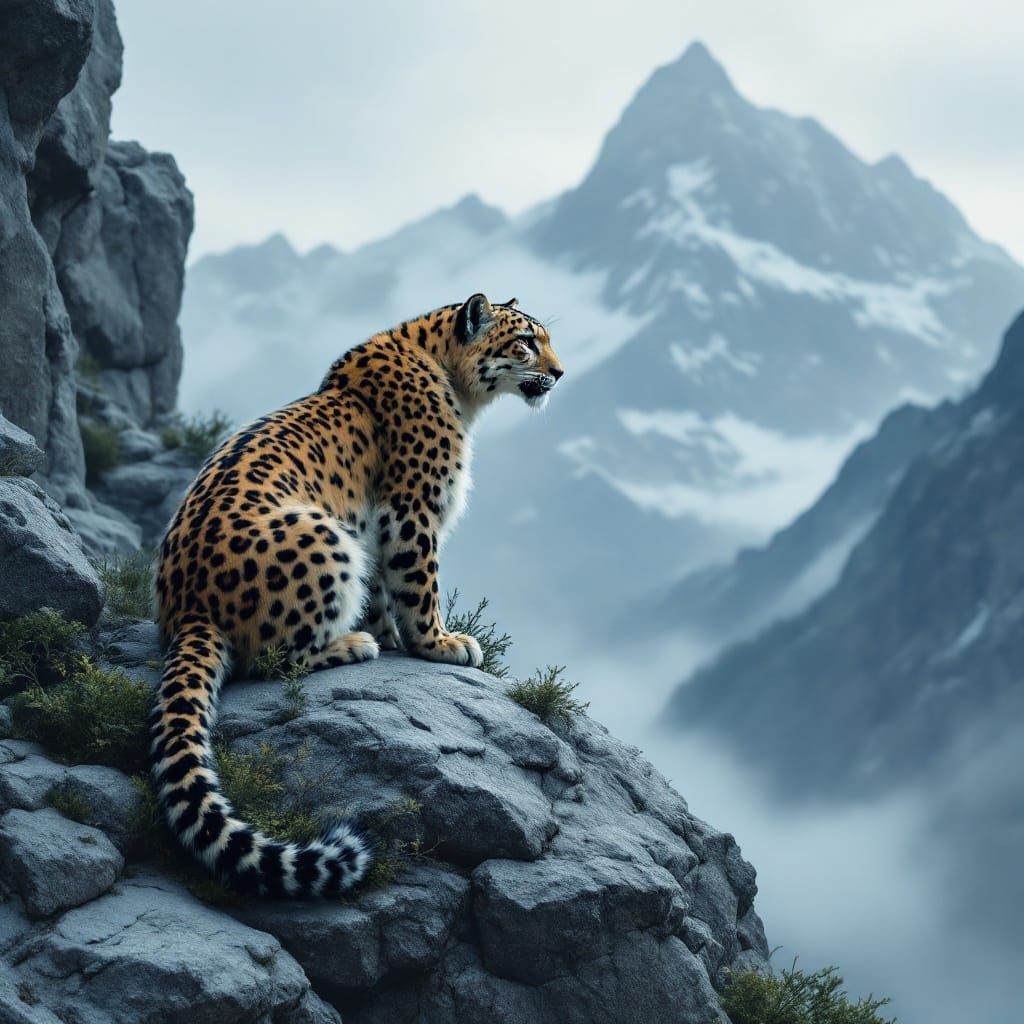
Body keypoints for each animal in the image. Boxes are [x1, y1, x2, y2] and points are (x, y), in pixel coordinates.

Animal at [150, 293, 564, 898]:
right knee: (271, 657)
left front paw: (394, 635)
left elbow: (386, 592)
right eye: (527, 342)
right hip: (324, 535)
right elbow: (420, 585)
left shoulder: (381, 526)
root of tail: (188, 608)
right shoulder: (411, 510)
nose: (559, 373)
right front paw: (441, 644)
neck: (454, 381)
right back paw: (351, 645)